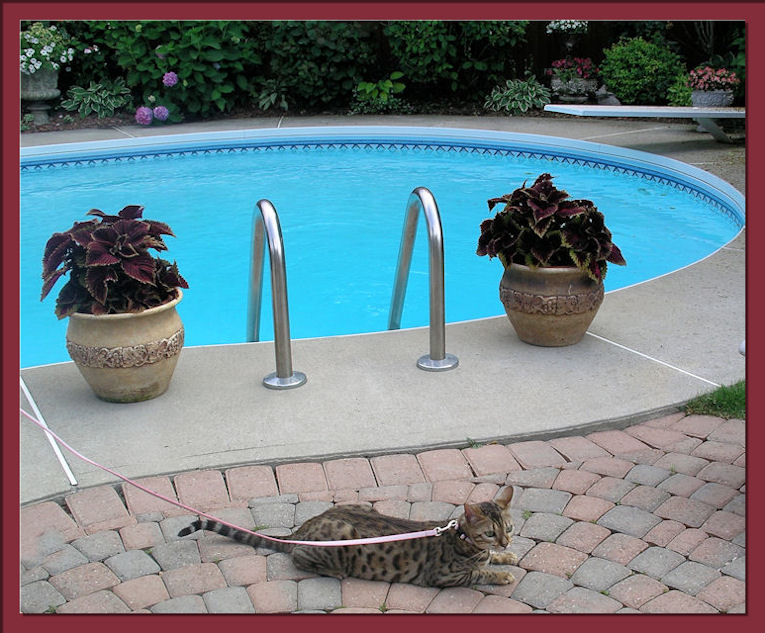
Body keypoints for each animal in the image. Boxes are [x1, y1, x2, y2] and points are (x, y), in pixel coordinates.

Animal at [176, 484, 516, 588]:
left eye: (509, 529)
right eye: (490, 532)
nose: (506, 541)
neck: (461, 538)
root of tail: (300, 530)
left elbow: (490, 561)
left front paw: (508, 556)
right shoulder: (442, 576)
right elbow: (478, 573)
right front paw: (501, 575)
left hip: (361, 506)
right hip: (341, 535)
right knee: (298, 557)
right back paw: (333, 571)